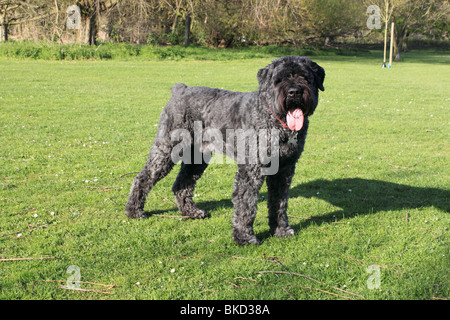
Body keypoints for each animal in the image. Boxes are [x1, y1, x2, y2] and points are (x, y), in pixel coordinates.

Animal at [125, 55, 326, 245]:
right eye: (279, 80)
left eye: (305, 77)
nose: (294, 92)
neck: (274, 120)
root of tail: (180, 90)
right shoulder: (251, 170)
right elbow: (246, 204)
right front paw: (245, 237)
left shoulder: (284, 170)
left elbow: (279, 202)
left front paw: (281, 230)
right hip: (166, 149)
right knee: (143, 177)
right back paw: (134, 211)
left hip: (197, 159)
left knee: (182, 184)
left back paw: (191, 212)